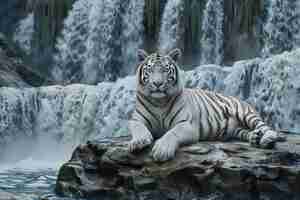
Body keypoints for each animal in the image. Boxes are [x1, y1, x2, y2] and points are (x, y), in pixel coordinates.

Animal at [128, 48, 284, 162]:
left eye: (165, 70)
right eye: (150, 70)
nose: (157, 83)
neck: (159, 101)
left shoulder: (187, 125)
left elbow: (172, 133)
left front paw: (162, 150)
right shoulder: (136, 119)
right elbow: (138, 128)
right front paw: (138, 142)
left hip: (245, 113)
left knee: (264, 126)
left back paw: (267, 138)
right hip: (236, 130)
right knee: (246, 131)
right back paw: (254, 137)